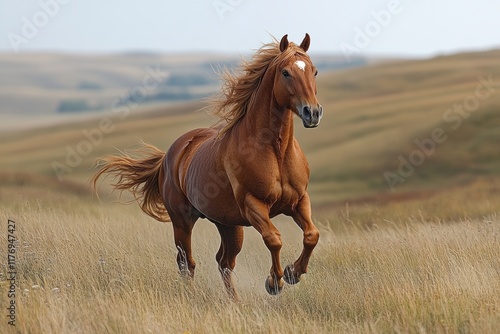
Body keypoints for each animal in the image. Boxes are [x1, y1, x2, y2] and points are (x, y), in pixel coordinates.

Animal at [91, 34, 322, 300]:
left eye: (314, 71)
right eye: (286, 73)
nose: (312, 112)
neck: (276, 152)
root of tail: (170, 154)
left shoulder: (299, 201)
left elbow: (311, 235)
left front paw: (293, 272)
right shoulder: (253, 205)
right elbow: (273, 239)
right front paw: (275, 282)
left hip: (228, 224)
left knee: (224, 262)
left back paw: (235, 302)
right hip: (182, 221)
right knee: (186, 262)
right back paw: (192, 296)